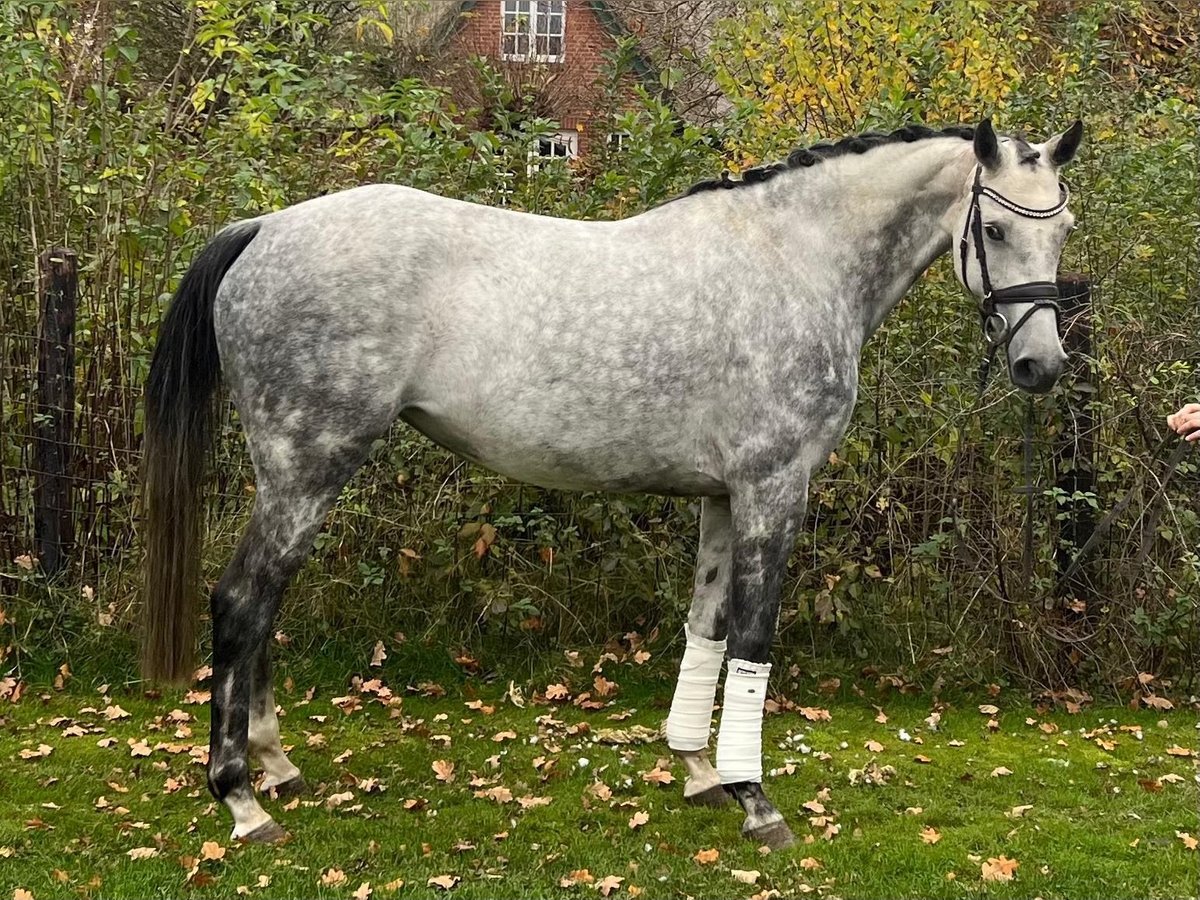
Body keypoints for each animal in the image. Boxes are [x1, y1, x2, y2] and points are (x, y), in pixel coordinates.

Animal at [142, 118, 1083, 847]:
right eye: (996, 231)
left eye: (1063, 227)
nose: (1040, 366)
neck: (794, 260)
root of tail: (266, 228)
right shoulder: (773, 488)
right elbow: (754, 639)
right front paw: (756, 801)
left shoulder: (721, 497)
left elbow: (706, 628)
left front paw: (698, 768)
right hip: (309, 465)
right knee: (243, 602)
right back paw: (241, 799)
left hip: (298, 475)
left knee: (267, 605)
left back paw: (275, 764)